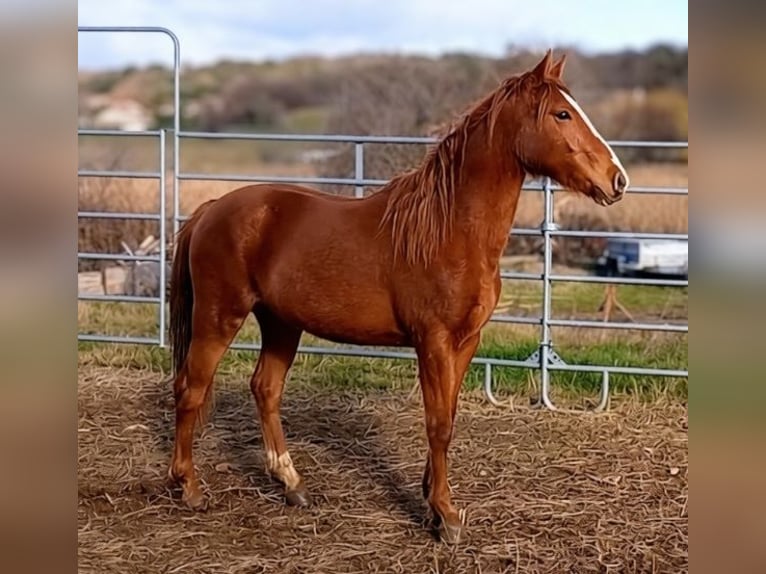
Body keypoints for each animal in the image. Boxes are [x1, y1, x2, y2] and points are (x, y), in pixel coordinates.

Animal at [167, 50, 629, 545]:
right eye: (562, 114)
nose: (617, 180)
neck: (449, 229)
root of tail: (210, 209)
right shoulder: (434, 342)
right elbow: (438, 424)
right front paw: (445, 516)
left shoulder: (466, 343)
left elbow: (449, 415)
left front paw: (432, 500)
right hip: (219, 317)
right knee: (191, 389)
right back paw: (189, 487)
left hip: (281, 323)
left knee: (265, 389)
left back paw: (291, 484)